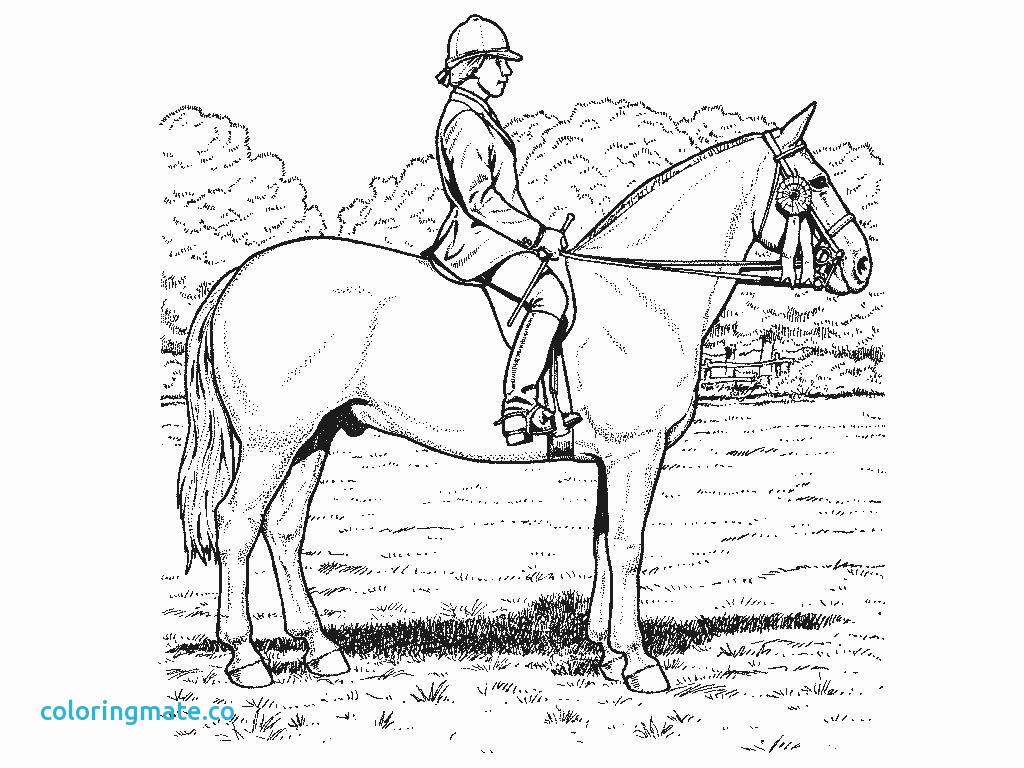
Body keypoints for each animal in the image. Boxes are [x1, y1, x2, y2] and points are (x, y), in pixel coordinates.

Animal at [176, 103, 872, 694]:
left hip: (315, 436)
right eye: (810, 183)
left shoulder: (610, 460)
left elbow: (601, 542)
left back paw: (322, 652)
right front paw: (639, 662)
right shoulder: (635, 454)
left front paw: (604, 650)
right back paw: (245, 659)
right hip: (272, 442)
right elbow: (628, 545)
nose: (862, 265)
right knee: (237, 524)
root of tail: (237, 276)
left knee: (283, 530)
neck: (642, 293)